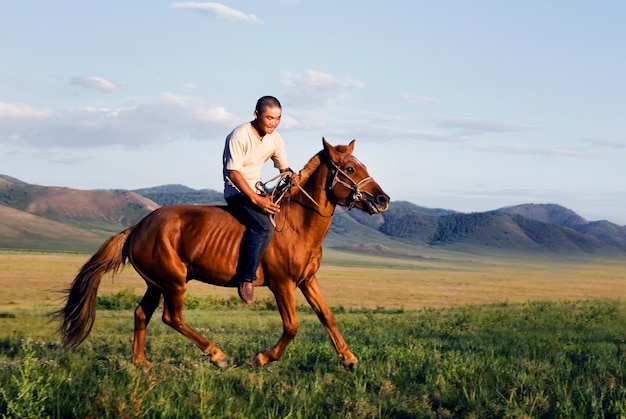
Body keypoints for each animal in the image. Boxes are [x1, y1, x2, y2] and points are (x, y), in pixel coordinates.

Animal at [59, 139, 390, 370]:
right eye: (350, 169)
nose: (382, 199)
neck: (297, 223)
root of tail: (138, 226)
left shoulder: (307, 281)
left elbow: (327, 316)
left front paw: (348, 359)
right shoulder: (282, 284)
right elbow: (292, 326)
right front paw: (261, 358)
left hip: (157, 283)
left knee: (142, 313)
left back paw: (140, 362)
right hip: (174, 282)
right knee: (171, 316)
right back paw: (216, 354)